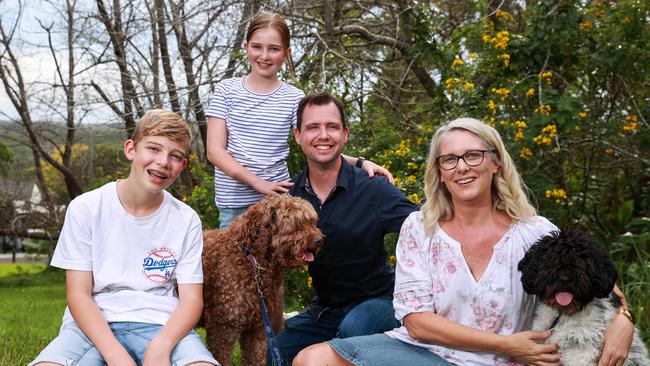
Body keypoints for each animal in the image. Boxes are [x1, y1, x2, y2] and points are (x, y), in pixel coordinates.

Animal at [202, 196, 322, 364]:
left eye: (312, 222)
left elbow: (255, 358)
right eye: (296, 224)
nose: (319, 240)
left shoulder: (258, 330)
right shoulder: (223, 329)